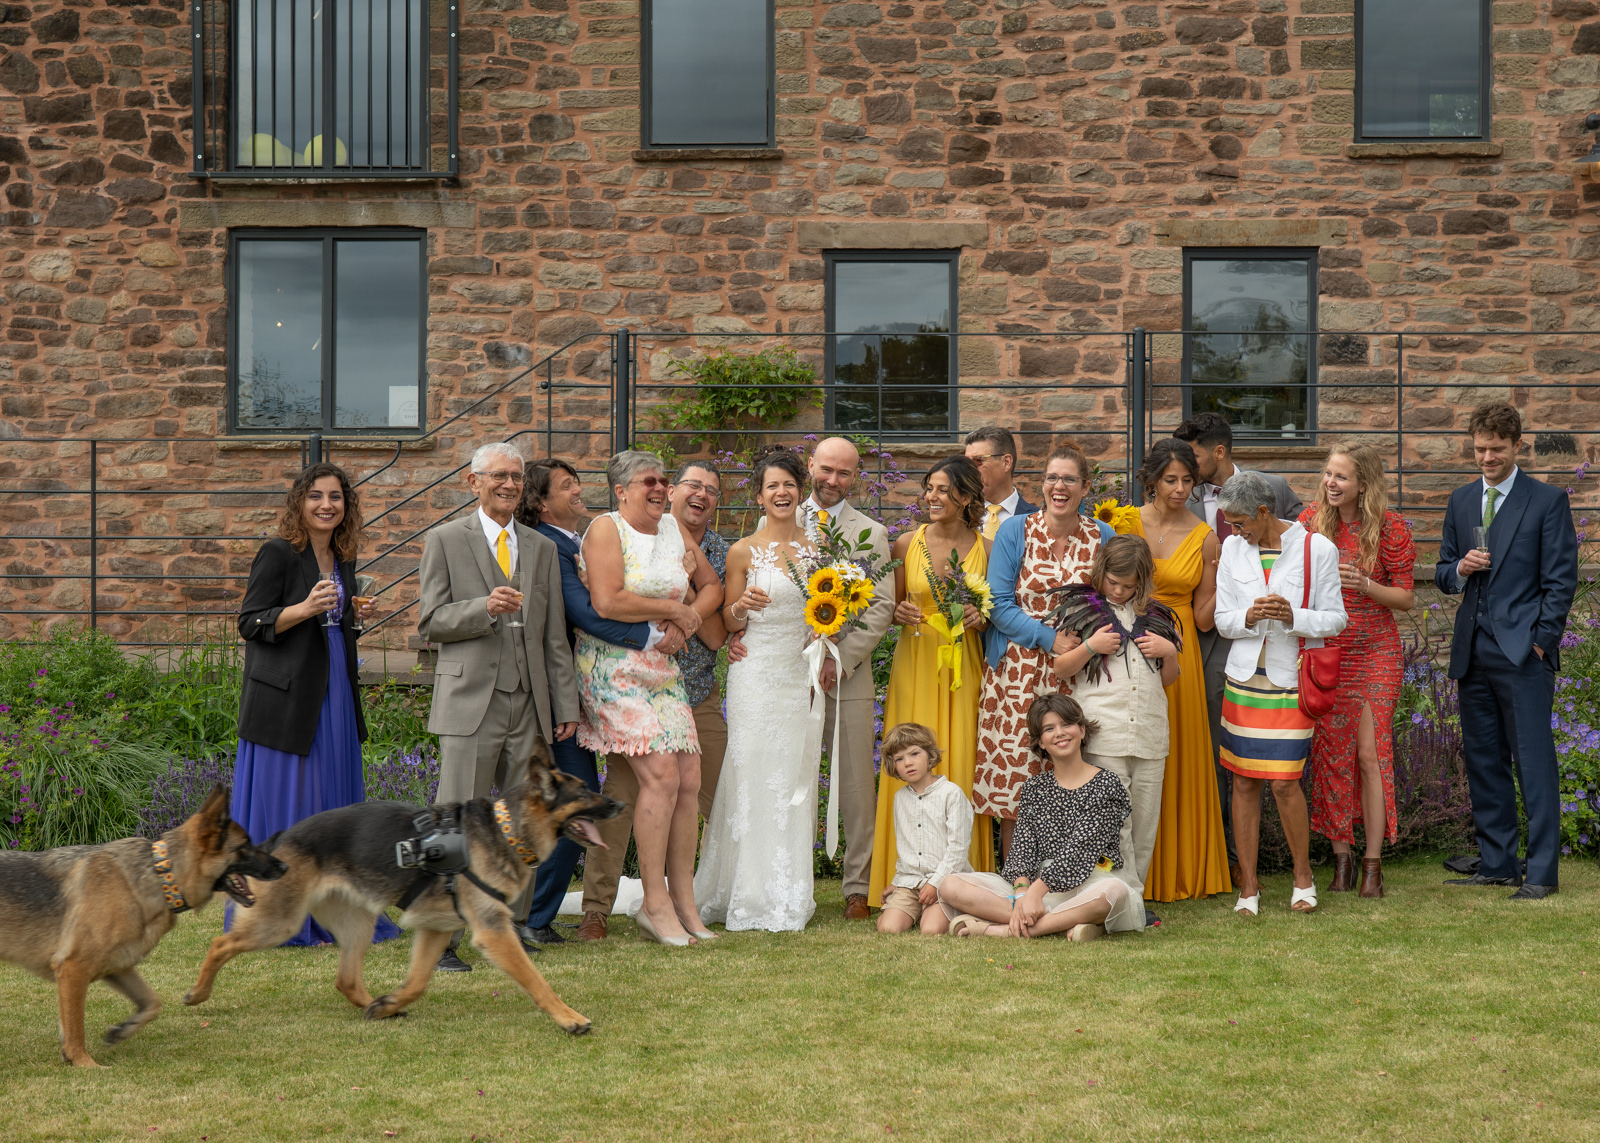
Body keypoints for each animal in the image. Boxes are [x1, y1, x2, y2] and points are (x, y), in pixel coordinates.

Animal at [0, 784, 287, 1066]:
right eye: (245, 845)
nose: (285, 865)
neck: (161, 875)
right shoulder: (73, 968)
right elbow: (75, 1028)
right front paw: (84, 1063)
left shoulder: (118, 965)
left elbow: (152, 1003)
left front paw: (122, 1029)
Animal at [184, 738, 623, 1035]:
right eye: (585, 791)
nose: (619, 805)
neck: (507, 830)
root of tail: (280, 839)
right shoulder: (493, 931)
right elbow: (537, 980)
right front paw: (570, 1018)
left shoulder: (435, 928)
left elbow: (417, 983)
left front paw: (391, 1001)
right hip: (281, 922)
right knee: (220, 943)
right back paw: (198, 994)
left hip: (358, 925)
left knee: (345, 980)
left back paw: (381, 1007)